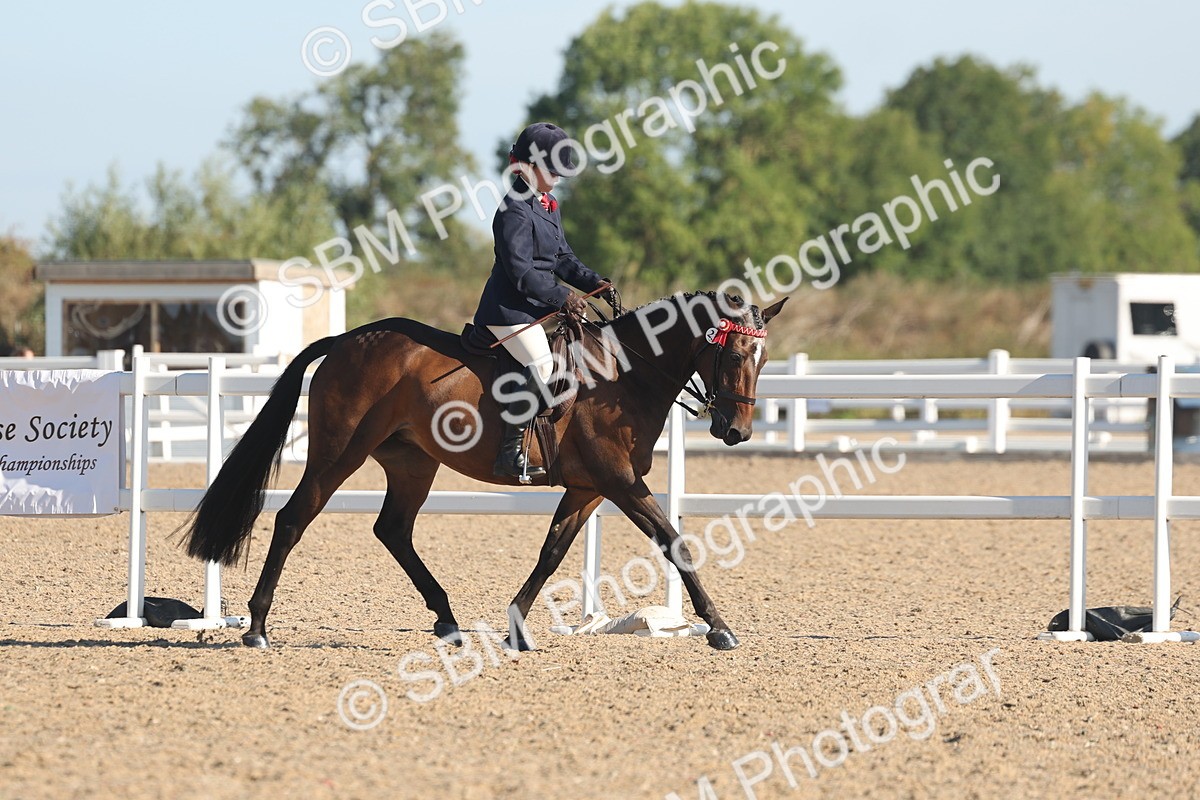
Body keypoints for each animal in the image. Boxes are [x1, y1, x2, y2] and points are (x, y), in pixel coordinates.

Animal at [182, 291, 786, 651]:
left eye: (762, 359)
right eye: (735, 355)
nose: (737, 431)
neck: (624, 376)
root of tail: (348, 340)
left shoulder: (589, 488)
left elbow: (552, 552)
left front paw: (517, 628)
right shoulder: (619, 482)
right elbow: (672, 540)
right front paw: (720, 628)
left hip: (413, 462)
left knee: (392, 529)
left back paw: (447, 620)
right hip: (338, 454)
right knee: (292, 519)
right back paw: (258, 627)